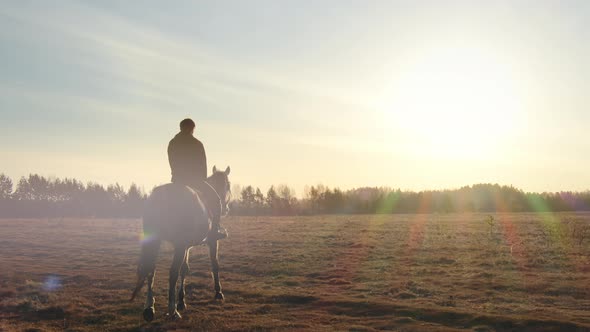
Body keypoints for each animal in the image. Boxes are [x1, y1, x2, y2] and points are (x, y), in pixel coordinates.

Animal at [131, 166, 232, 322]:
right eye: (228, 185)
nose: (226, 209)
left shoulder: (186, 246)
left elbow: (185, 269)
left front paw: (182, 301)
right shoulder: (211, 242)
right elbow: (214, 264)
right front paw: (218, 293)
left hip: (156, 240)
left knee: (151, 270)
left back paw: (149, 308)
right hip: (178, 245)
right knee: (172, 272)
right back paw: (172, 311)